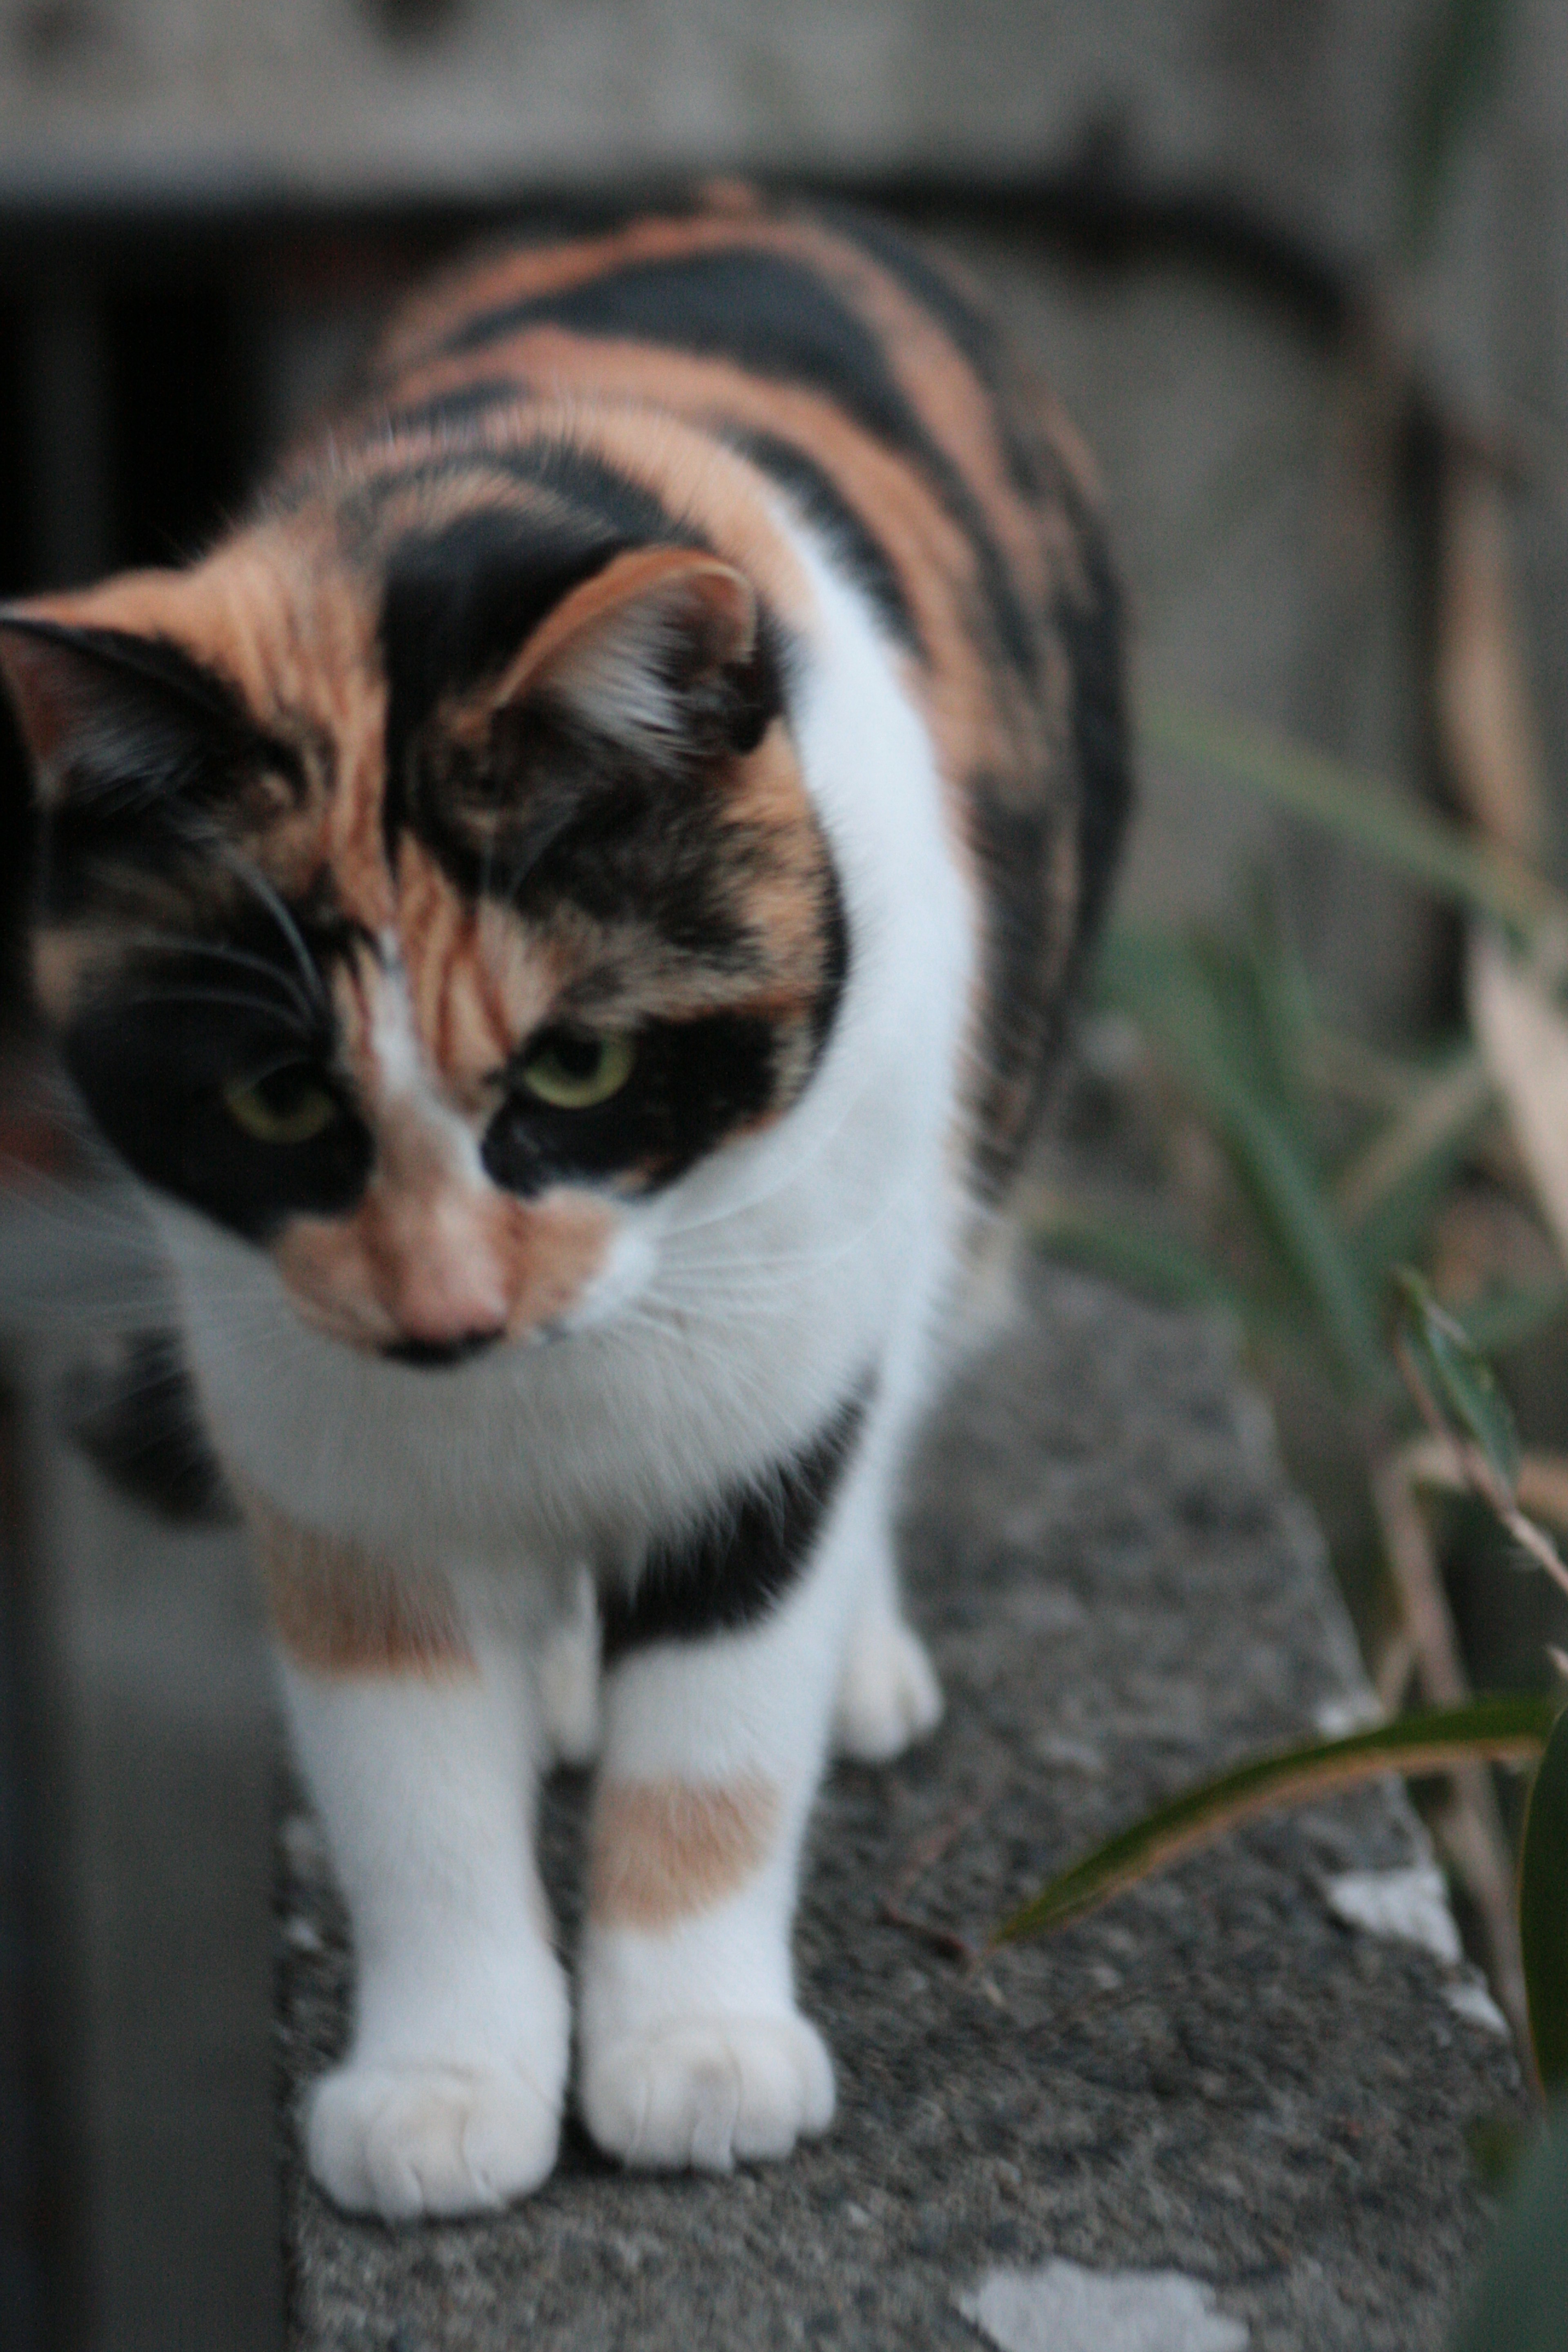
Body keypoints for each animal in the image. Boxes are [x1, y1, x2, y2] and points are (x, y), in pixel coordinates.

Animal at [0, 188, 1128, 2220]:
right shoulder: (319, 1447)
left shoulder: (783, 1391)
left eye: (580, 1074)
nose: (451, 1311)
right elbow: (411, 1797)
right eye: (283, 1101)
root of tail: (746, 202)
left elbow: (720, 1744)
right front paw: (447, 2085)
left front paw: (695, 2054)